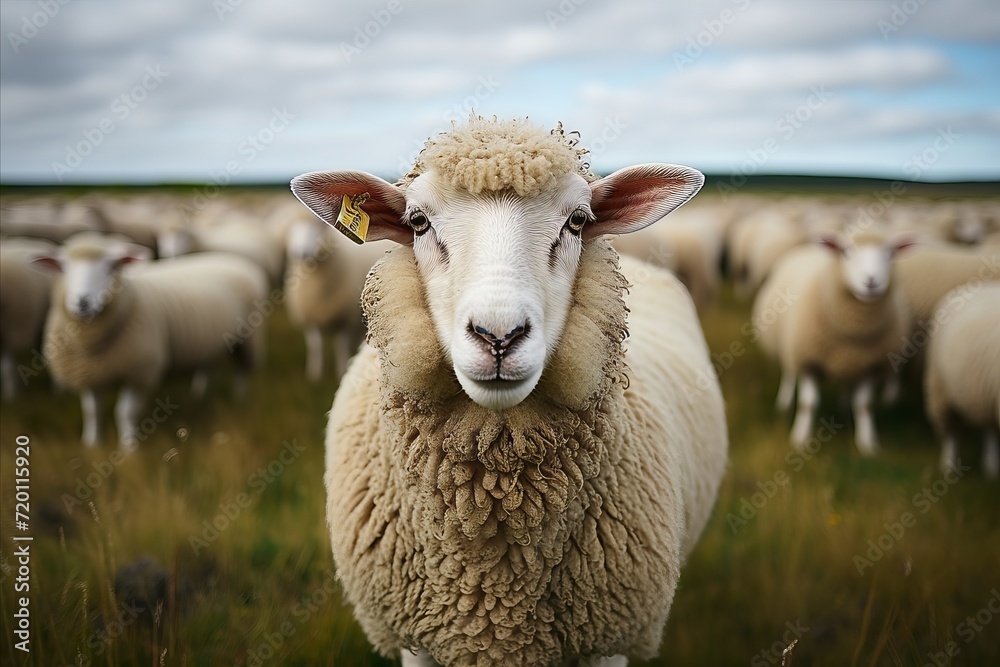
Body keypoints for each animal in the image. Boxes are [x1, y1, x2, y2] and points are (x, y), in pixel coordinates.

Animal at [33, 232, 269, 450]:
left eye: (112, 267)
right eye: (62, 267)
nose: (83, 302)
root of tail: (230, 257)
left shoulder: (139, 373)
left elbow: (125, 413)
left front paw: (129, 449)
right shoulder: (89, 372)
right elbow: (92, 412)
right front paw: (92, 445)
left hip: (249, 337)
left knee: (242, 371)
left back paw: (238, 400)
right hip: (212, 339)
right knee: (209, 366)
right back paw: (200, 395)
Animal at [283, 217, 391, 381]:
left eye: (316, 231)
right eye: (294, 234)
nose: (299, 254)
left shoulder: (344, 319)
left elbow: (341, 347)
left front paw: (341, 371)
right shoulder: (312, 318)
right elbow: (316, 347)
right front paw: (315, 373)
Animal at [753, 230, 916, 455]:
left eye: (890, 254)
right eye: (846, 252)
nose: (871, 282)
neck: (855, 331)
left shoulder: (870, 366)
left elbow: (864, 405)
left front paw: (867, 443)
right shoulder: (807, 360)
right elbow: (808, 403)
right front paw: (800, 440)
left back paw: (843, 404)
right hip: (788, 348)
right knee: (789, 373)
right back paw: (784, 403)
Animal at [924, 282, 1000, 478]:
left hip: (982, 391)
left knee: (988, 426)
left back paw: (991, 468)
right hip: (940, 390)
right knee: (951, 433)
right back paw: (949, 467)